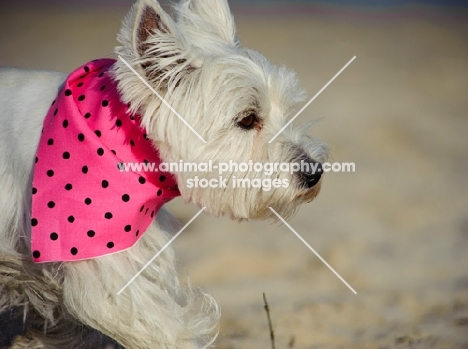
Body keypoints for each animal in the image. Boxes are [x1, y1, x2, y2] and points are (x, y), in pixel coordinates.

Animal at [0, 0, 328, 346]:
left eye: (285, 110)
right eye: (248, 119)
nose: (314, 172)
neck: (120, 137)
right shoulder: (98, 260)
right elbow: (161, 328)